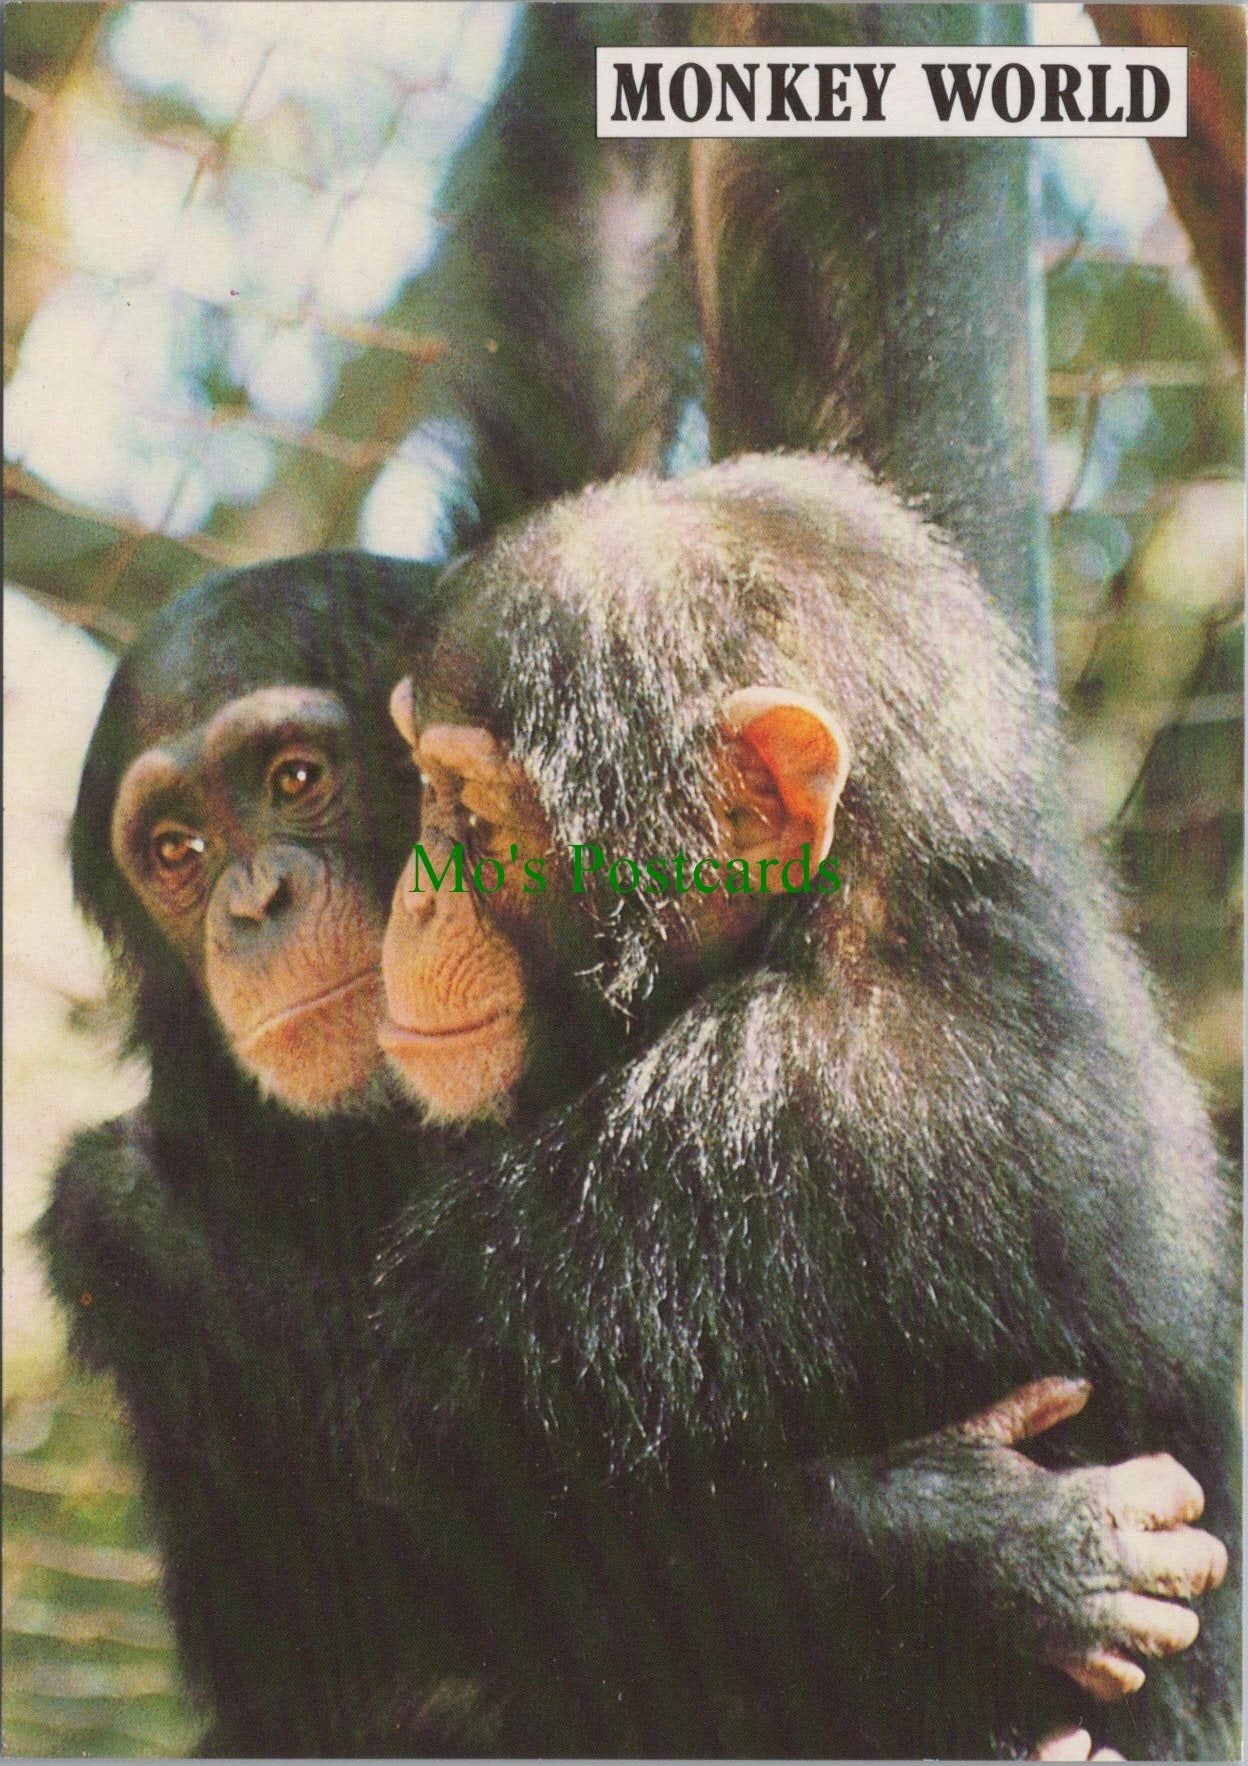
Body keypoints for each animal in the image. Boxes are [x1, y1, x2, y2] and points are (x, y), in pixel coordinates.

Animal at [370, 452, 1240, 1759]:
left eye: (468, 807)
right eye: (423, 786)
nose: (413, 896)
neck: (867, 908)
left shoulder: (725, 1137)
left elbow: (461, 1528)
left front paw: (965, 1550)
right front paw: (1006, 1545)